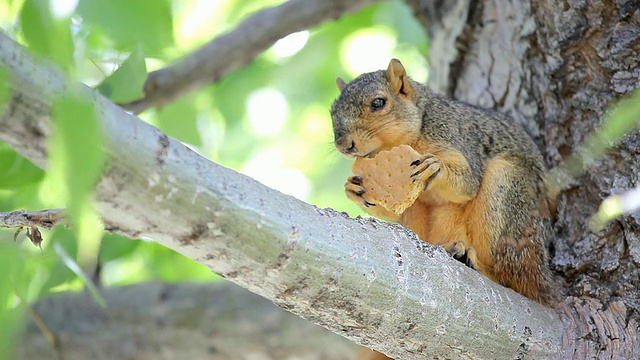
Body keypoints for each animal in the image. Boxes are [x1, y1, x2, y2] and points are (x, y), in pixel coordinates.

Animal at [330, 58, 556, 360]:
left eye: (378, 102)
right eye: (332, 112)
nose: (344, 145)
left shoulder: (456, 138)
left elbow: (467, 184)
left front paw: (436, 168)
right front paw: (353, 188)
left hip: (510, 195)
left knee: (510, 275)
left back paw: (475, 262)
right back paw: (449, 249)